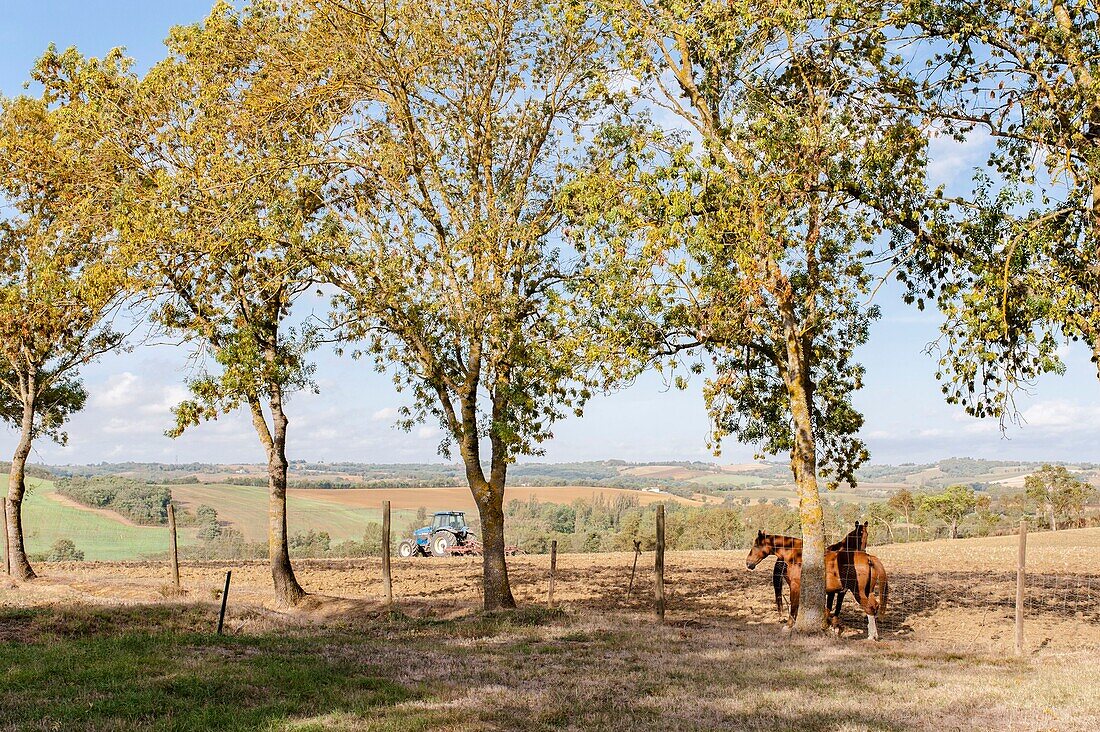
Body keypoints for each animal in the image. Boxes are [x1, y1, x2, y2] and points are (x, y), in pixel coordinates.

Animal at [752, 528, 888, 638]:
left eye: (756, 546)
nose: (749, 563)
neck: (797, 555)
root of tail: (868, 557)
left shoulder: (795, 586)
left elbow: (794, 605)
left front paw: (788, 626)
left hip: (858, 592)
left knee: (869, 608)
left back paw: (871, 636)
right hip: (868, 591)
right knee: (874, 606)